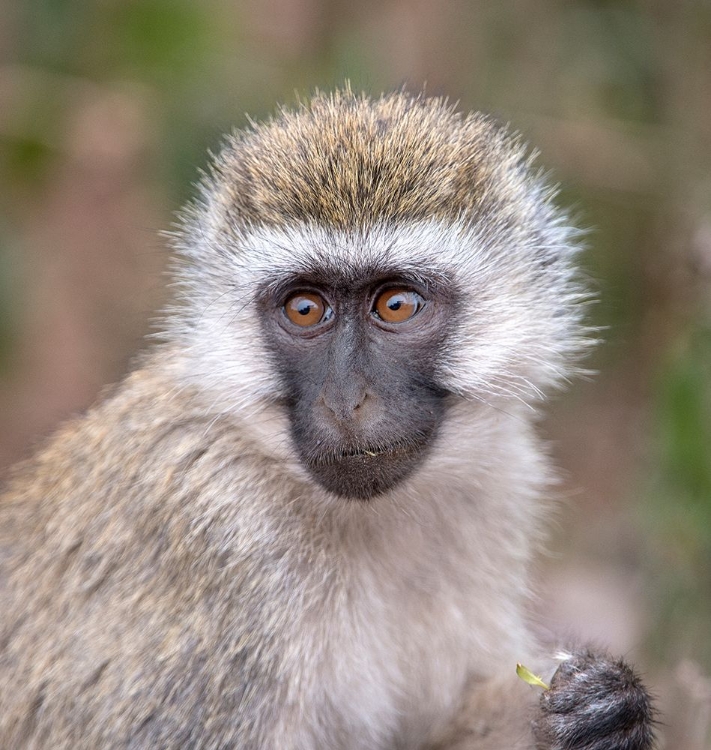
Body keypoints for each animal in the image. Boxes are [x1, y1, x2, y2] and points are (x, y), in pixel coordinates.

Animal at [1, 91, 656, 748]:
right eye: (305, 308)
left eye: (396, 304)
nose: (346, 402)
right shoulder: (218, 535)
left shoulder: (500, 482)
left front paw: (607, 708)